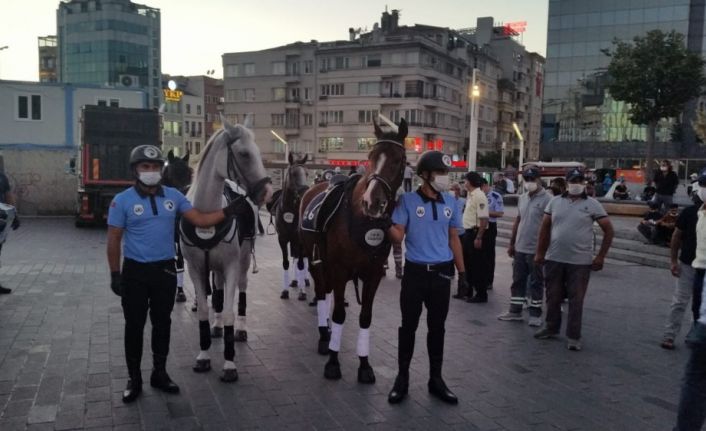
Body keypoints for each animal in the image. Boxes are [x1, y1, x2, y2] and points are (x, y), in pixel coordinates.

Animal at [179, 117, 272, 382]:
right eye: (244, 154)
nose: (267, 193)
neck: (206, 215)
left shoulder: (231, 265)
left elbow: (230, 309)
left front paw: (229, 363)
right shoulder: (196, 268)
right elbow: (204, 310)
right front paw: (203, 356)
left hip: (242, 261)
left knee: (241, 290)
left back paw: (239, 328)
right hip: (215, 267)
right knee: (218, 292)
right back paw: (218, 325)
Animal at [298, 119, 408, 384]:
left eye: (398, 159)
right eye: (371, 156)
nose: (373, 202)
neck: (363, 222)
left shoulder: (373, 274)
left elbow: (365, 317)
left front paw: (364, 365)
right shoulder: (339, 270)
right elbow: (338, 314)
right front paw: (333, 362)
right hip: (316, 262)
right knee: (321, 293)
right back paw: (324, 336)